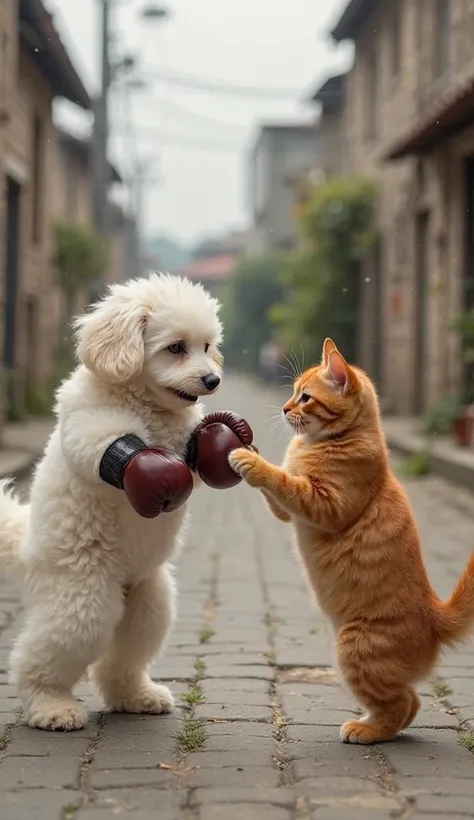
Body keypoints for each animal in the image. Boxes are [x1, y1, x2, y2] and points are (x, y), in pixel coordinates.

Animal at [0, 276, 222, 732]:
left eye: (208, 346)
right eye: (176, 347)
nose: (212, 380)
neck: (147, 405)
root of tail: (25, 547)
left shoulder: (184, 444)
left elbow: (196, 454)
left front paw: (221, 441)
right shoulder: (89, 424)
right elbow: (115, 450)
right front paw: (154, 477)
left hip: (150, 602)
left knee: (120, 661)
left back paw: (136, 696)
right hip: (83, 601)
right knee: (39, 659)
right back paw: (51, 707)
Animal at [231, 340, 474, 744]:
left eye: (305, 397)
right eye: (293, 393)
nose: (284, 408)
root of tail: (434, 616)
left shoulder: (324, 505)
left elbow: (284, 481)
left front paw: (251, 462)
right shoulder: (289, 514)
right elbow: (280, 487)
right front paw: (254, 455)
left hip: (355, 646)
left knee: (401, 704)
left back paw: (367, 729)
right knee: (411, 702)